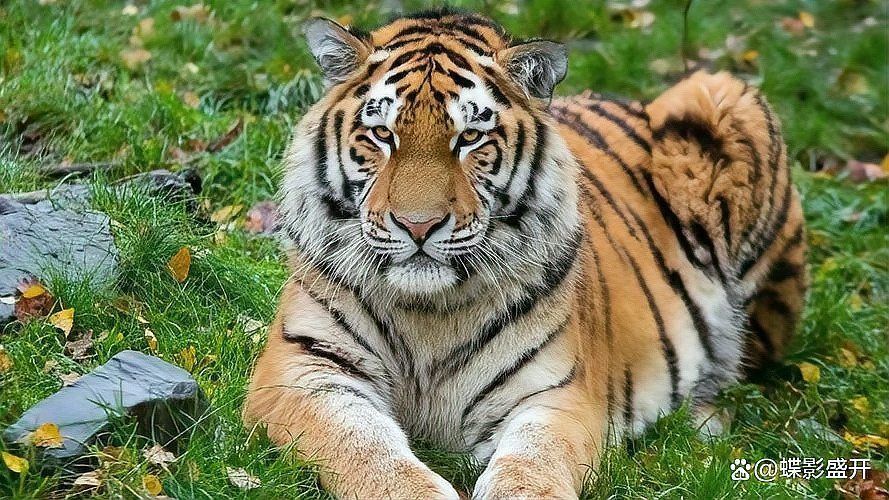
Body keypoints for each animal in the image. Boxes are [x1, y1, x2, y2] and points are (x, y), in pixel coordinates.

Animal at [244, 9, 807, 499]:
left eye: (470, 138)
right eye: (382, 134)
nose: (418, 225)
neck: (426, 314)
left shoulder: (555, 395)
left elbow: (532, 465)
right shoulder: (302, 372)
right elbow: (367, 451)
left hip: (721, 97)